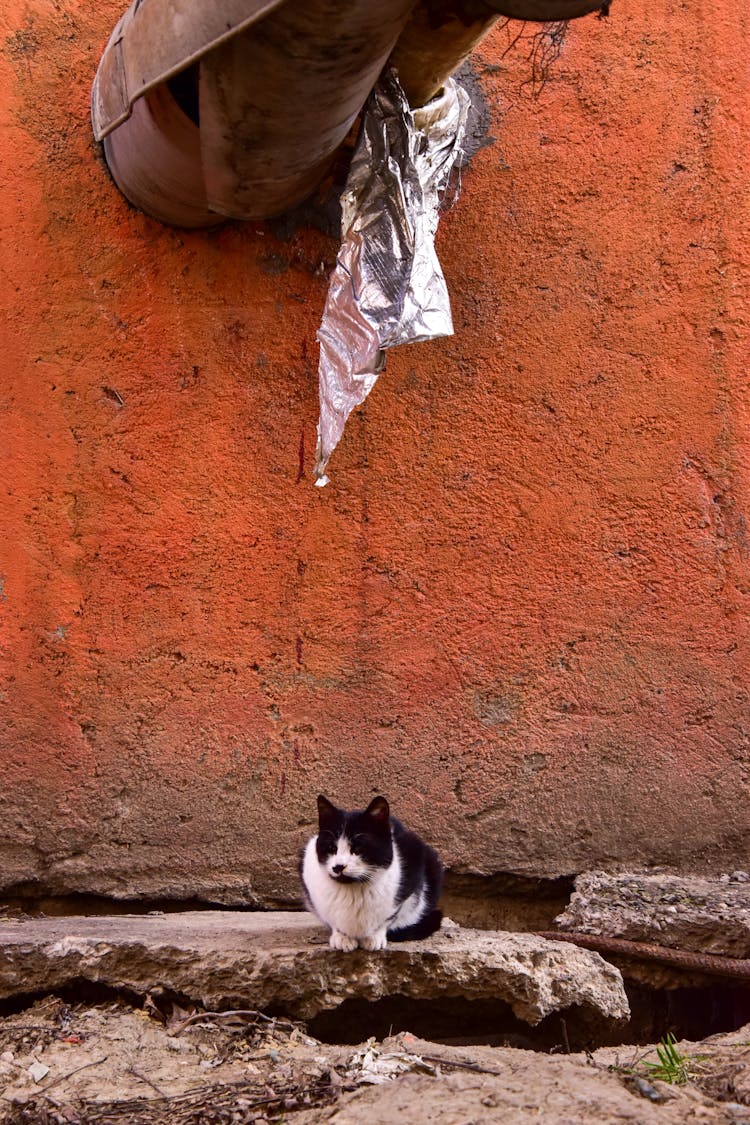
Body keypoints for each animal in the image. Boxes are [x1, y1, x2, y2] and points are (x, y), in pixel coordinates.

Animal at [299, 792, 443, 949]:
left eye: (358, 848)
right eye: (331, 848)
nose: (338, 866)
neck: (353, 890)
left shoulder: (413, 859)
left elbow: (389, 916)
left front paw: (375, 937)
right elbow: (331, 919)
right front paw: (342, 937)